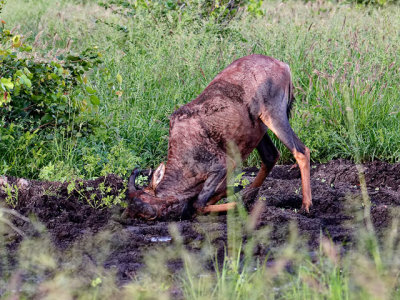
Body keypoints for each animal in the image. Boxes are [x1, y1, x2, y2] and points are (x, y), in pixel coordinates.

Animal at [126, 55, 312, 220]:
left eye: (147, 205)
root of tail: (282, 65)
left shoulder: (221, 166)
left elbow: (199, 204)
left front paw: (236, 204)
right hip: (259, 128)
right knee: (270, 156)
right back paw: (249, 195)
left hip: (274, 116)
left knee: (301, 151)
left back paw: (305, 206)